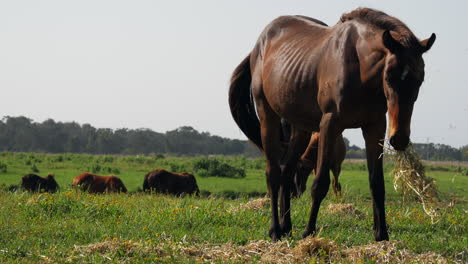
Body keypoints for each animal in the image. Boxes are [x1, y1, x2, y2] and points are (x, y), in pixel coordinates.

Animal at [229, 7, 436, 241]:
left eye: (420, 79)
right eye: (389, 77)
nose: (399, 138)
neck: (360, 68)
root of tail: (258, 47)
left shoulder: (374, 127)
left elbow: (376, 183)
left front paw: (381, 234)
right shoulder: (330, 124)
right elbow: (320, 183)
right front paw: (309, 232)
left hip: (300, 128)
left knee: (286, 171)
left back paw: (286, 226)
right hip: (268, 116)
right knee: (273, 173)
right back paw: (275, 230)